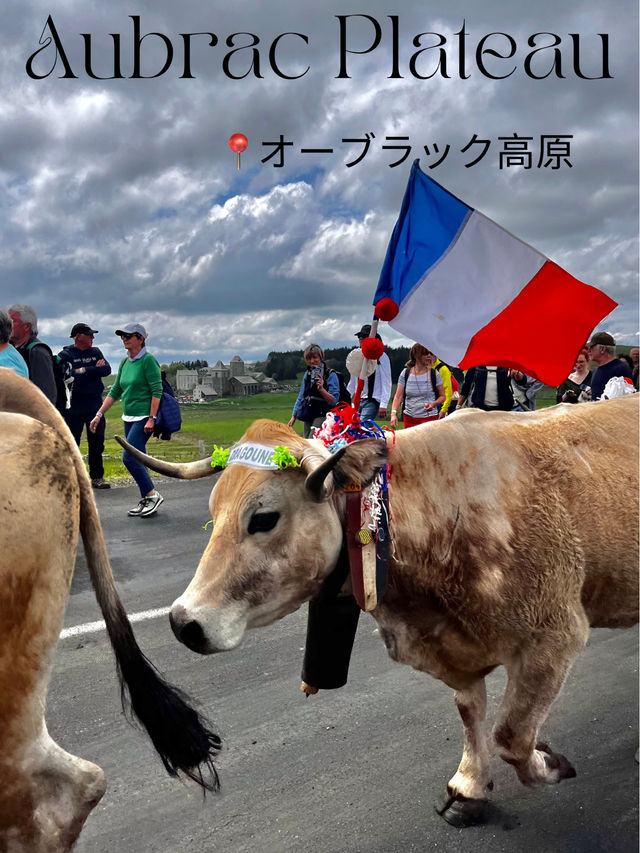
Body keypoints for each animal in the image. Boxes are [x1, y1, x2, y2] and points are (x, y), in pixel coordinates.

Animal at [117, 398, 636, 824]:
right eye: (213, 512)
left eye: (263, 518)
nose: (184, 621)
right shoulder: (451, 648)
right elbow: (470, 712)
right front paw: (469, 786)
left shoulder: (555, 635)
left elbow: (511, 735)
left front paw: (550, 763)